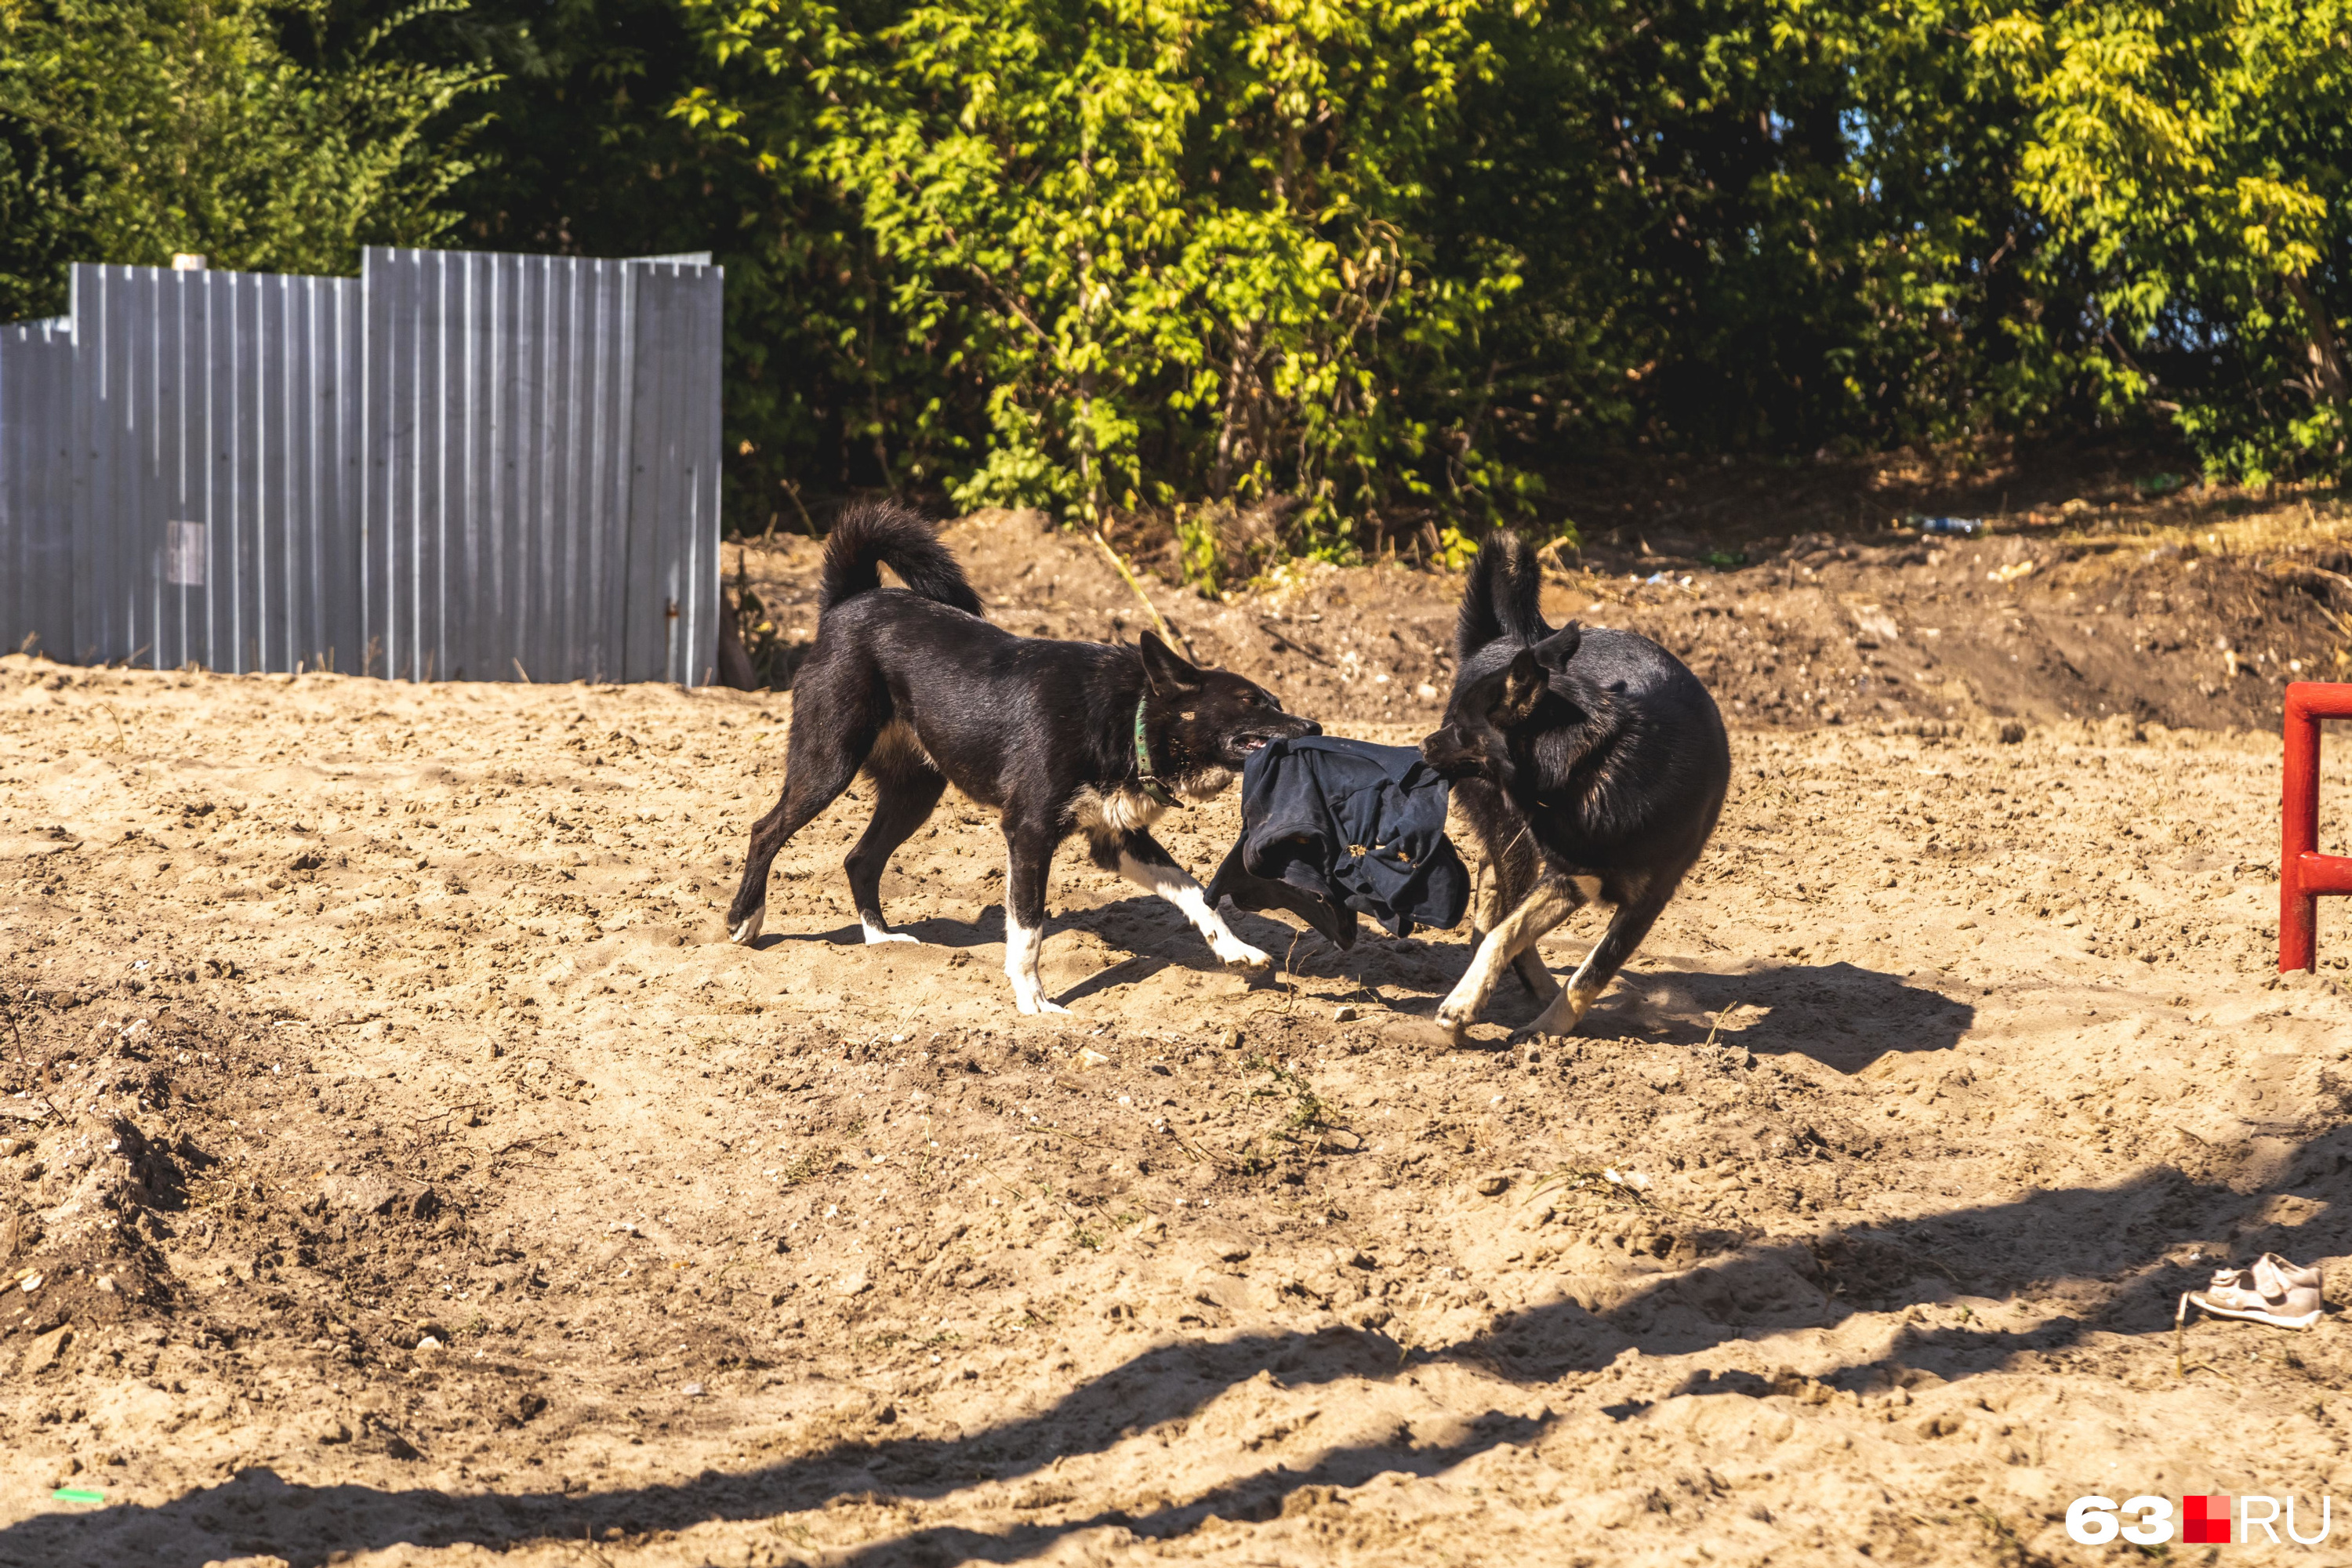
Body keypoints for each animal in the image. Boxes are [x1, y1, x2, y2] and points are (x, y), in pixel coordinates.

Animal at [724, 505, 1317, 1020]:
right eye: (1255, 702)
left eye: (1276, 700)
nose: (1314, 729)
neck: (1126, 719)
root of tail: (849, 603)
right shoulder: (1029, 833)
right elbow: (1029, 930)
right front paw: (1034, 1003)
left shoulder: (1115, 840)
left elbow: (1195, 892)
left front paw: (1235, 950)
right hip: (828, 765)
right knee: (765, 830)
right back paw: (745, 920)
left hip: (916, 793)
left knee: (860, 859)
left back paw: (881, 938)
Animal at [1411, 533, 1731, 1034]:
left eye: (1461, 727)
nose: (1423, 745)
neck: (1595, 766)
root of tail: (1498, 641)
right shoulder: (1569, 873)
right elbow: (1509, 932)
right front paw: (1466, 1001)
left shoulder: (1642, 899)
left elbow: (1589, 974)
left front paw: (1545, 1032)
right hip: (1514, 835)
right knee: (1501, 901)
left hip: (1517, 840)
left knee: (1492, 886)